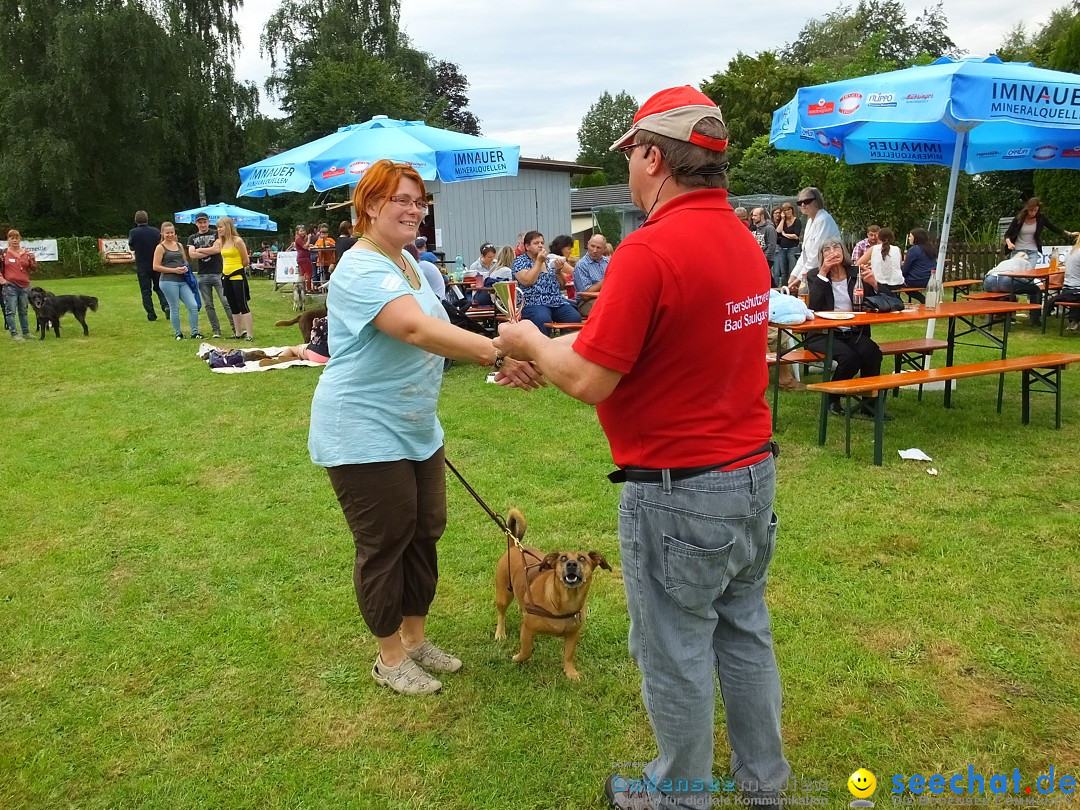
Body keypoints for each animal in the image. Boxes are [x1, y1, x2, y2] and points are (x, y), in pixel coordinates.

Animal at [494, 509, 613, 682]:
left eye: (582, 558)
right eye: (563, 558)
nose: (571, 564)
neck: (564, 601)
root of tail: (514, 546)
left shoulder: (573, 634)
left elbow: (569, 655)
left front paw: (571, 673)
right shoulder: (527, 628)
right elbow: (526, 650)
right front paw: (517, 658)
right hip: (503, 595)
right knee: (501, 614)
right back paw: (500, 633)